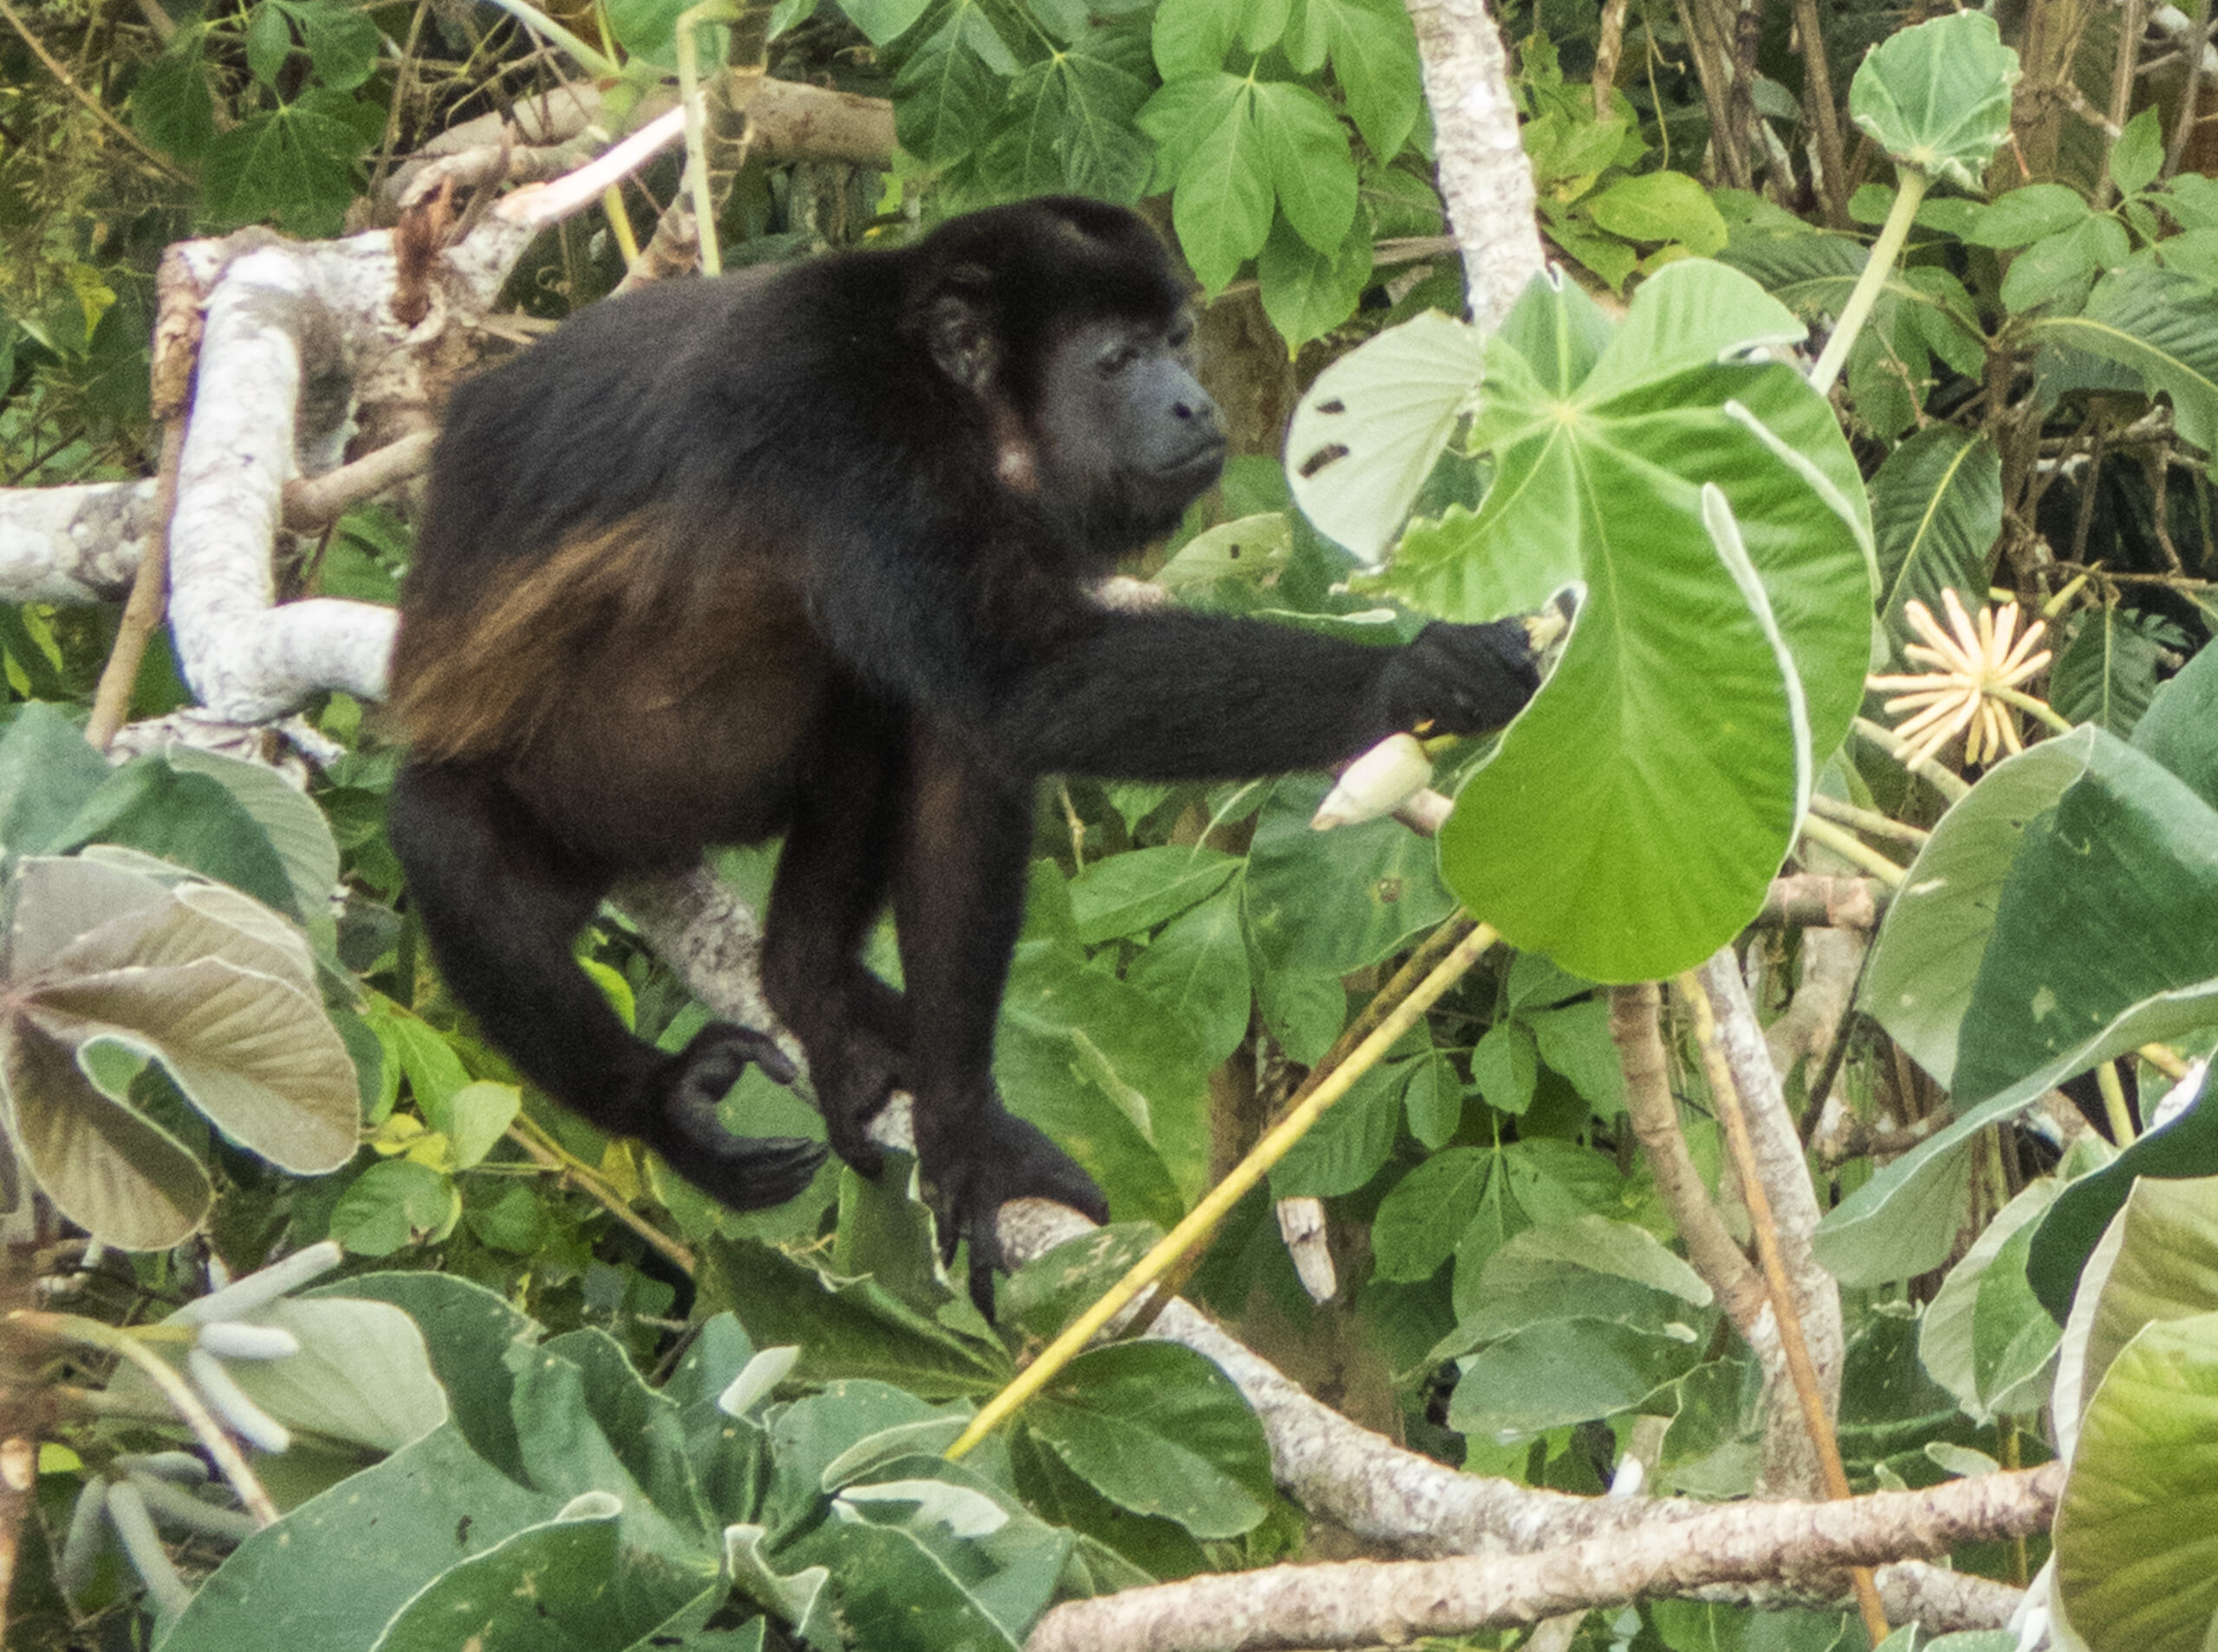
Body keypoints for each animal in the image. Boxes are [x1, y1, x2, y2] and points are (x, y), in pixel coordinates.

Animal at [386, 196, 1543, 1304]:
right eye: (1114, 361)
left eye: (1175, 340)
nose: (1193, 401)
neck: (949, 401)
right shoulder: (851, 429)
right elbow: (1021, 682)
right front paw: (1408, 680)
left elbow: (982, 720)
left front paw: (964, 1133)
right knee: (449, 848)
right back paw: (666, 1104)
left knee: (898, 712)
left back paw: (812, 984)